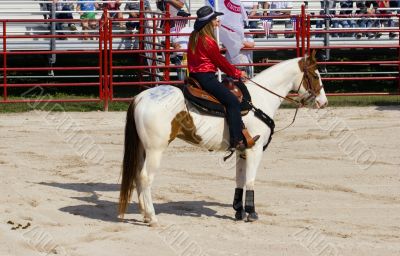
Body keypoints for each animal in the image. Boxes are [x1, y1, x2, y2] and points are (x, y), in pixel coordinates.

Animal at [117, 52, 326, 226]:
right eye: (315, 76)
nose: (323, 102)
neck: (258, 100)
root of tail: (141, 97)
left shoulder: (242, 150)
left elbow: (239, 180)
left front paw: (239, 212)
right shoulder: (255, 149)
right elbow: (250, 180)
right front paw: (251, 213)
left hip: (143, 149)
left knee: (137, 175)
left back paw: (144, 214)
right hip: (155, 150)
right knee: (145, 177)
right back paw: (152, 217)